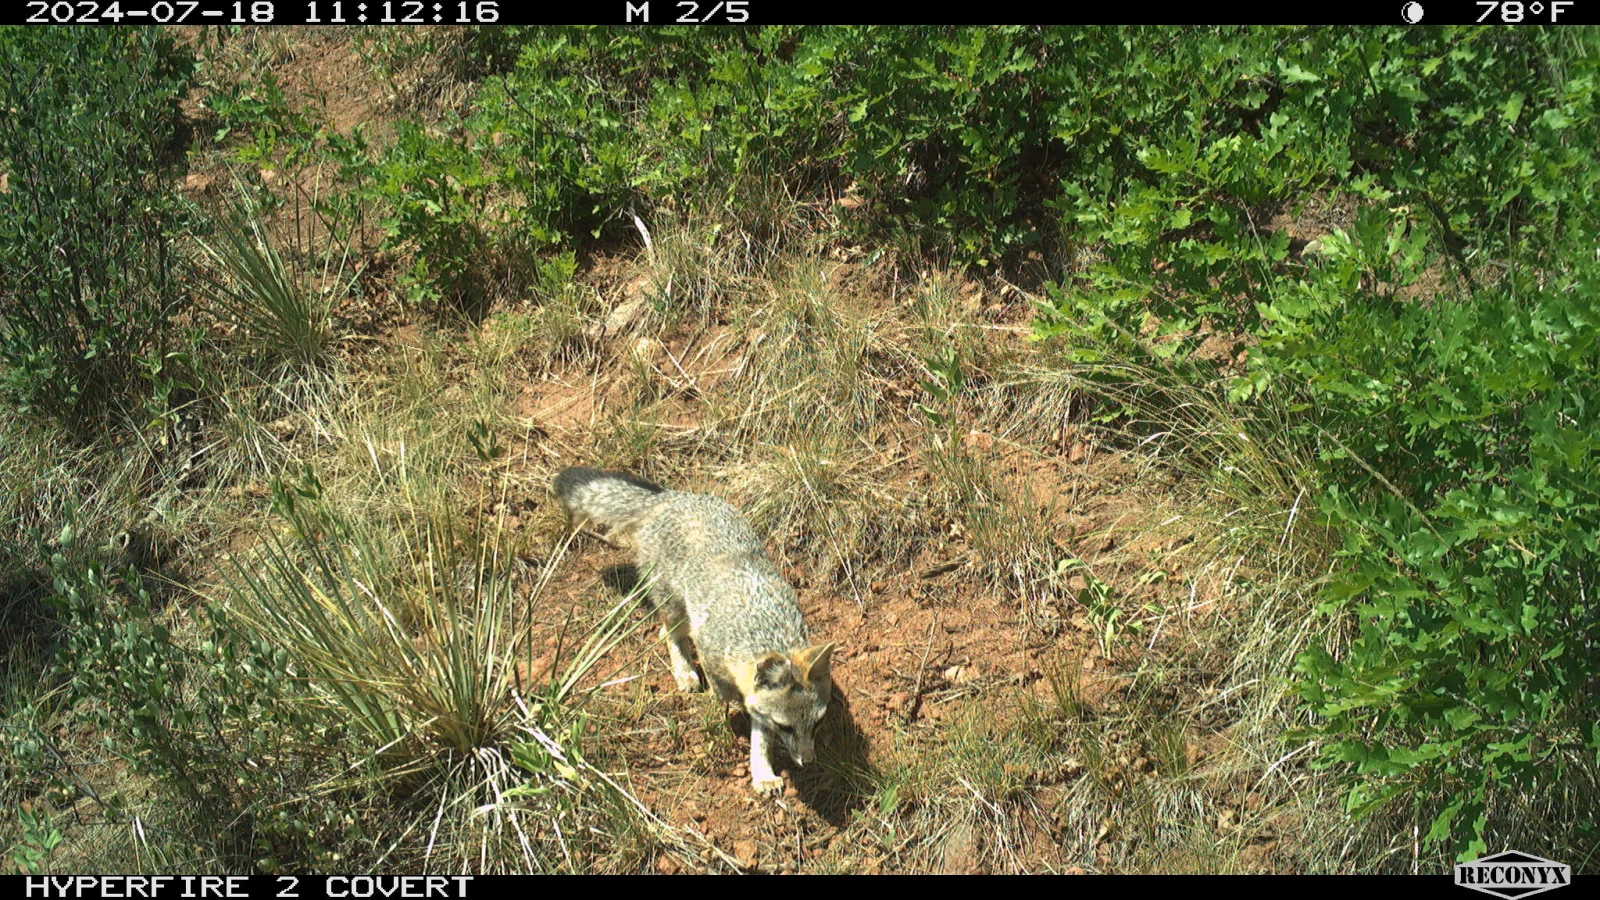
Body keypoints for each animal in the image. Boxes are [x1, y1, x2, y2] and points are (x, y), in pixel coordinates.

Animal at [553, 466, 834, 796]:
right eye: (785, 726)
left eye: (817, 724)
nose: (807, 761)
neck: (764, 627)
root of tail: (669, 497)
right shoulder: (713, 652)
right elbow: (726, 696)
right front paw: (726, 708)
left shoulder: (760, 703)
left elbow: (760, 738)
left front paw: (763, 772)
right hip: (676, 608)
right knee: (669, 634)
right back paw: (685, 672)